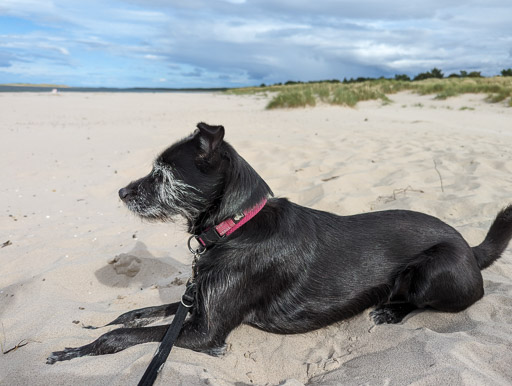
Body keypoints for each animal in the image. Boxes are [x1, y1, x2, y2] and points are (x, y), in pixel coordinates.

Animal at [47, 122, 512, 364]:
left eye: (162, 174)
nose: (122, 193)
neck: (235, 227)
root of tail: (469, 247)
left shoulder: (206, 332)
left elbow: (122, 338)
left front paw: (75, 351)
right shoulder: (195, 300)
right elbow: (133, 315)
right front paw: (95, 325)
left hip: (434, 269)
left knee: (422, 301)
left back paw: (391, 312)